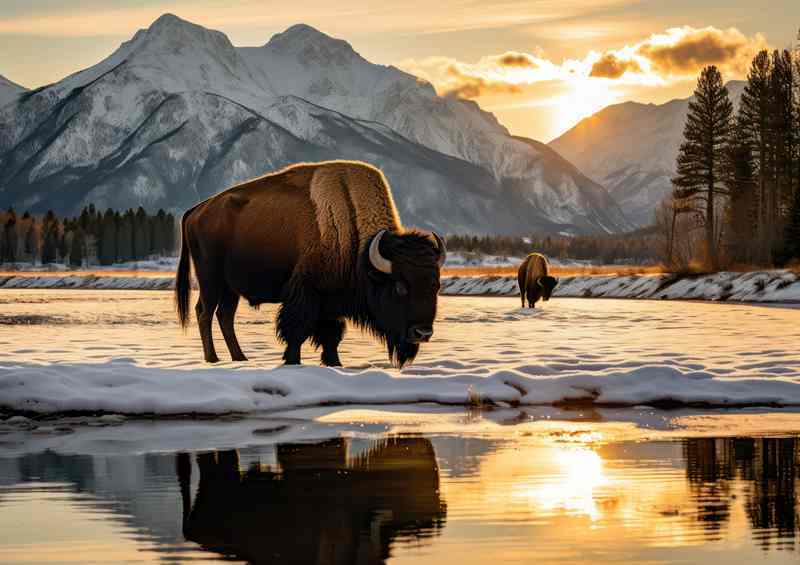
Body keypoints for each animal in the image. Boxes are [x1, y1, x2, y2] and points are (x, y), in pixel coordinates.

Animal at [175, 161, 445, 367]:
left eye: (436, 286)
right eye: (399, 286)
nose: (423, 333)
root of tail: (197, 210)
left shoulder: (331, 301)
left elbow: (331, 335)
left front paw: (334, 362)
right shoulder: (306, 294)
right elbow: (297, 330)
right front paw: (293, 360)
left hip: (231, 289)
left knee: (224, 316)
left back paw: (240, 358)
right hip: (211, 280)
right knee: (205, 312)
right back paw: (213, 358)